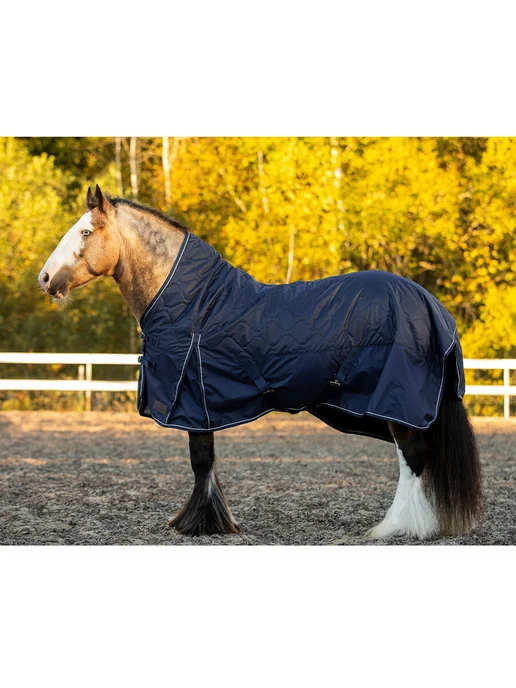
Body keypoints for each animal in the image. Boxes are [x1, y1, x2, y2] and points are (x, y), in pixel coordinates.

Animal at [38, 185, 483, 541]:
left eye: (86, 231)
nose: (44, 278)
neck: (196, 306)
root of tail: (429, 304)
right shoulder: (203, 405)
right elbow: (207, 462)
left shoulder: (193, 403)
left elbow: (200, 461)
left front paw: (198, 524)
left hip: (397, 402)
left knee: (413, 458)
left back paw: (397, 527)